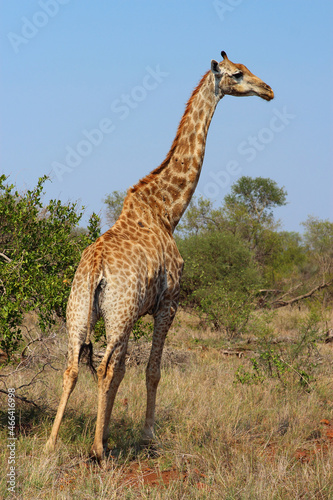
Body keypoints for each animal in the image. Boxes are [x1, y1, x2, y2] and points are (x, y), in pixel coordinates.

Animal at [44, 50, 272, 460]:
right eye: (237, 74)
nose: (268, 90)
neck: (167, 211)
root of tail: (96, 270)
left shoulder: (136, 312)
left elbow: (123, 372)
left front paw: (111, 428)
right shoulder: (169, 303)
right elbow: (151, 370)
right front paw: (147, 434)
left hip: (80, 310)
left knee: (72, 367)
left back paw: (53, 443)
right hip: (117, 314)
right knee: (102, 367)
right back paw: (97, 450)